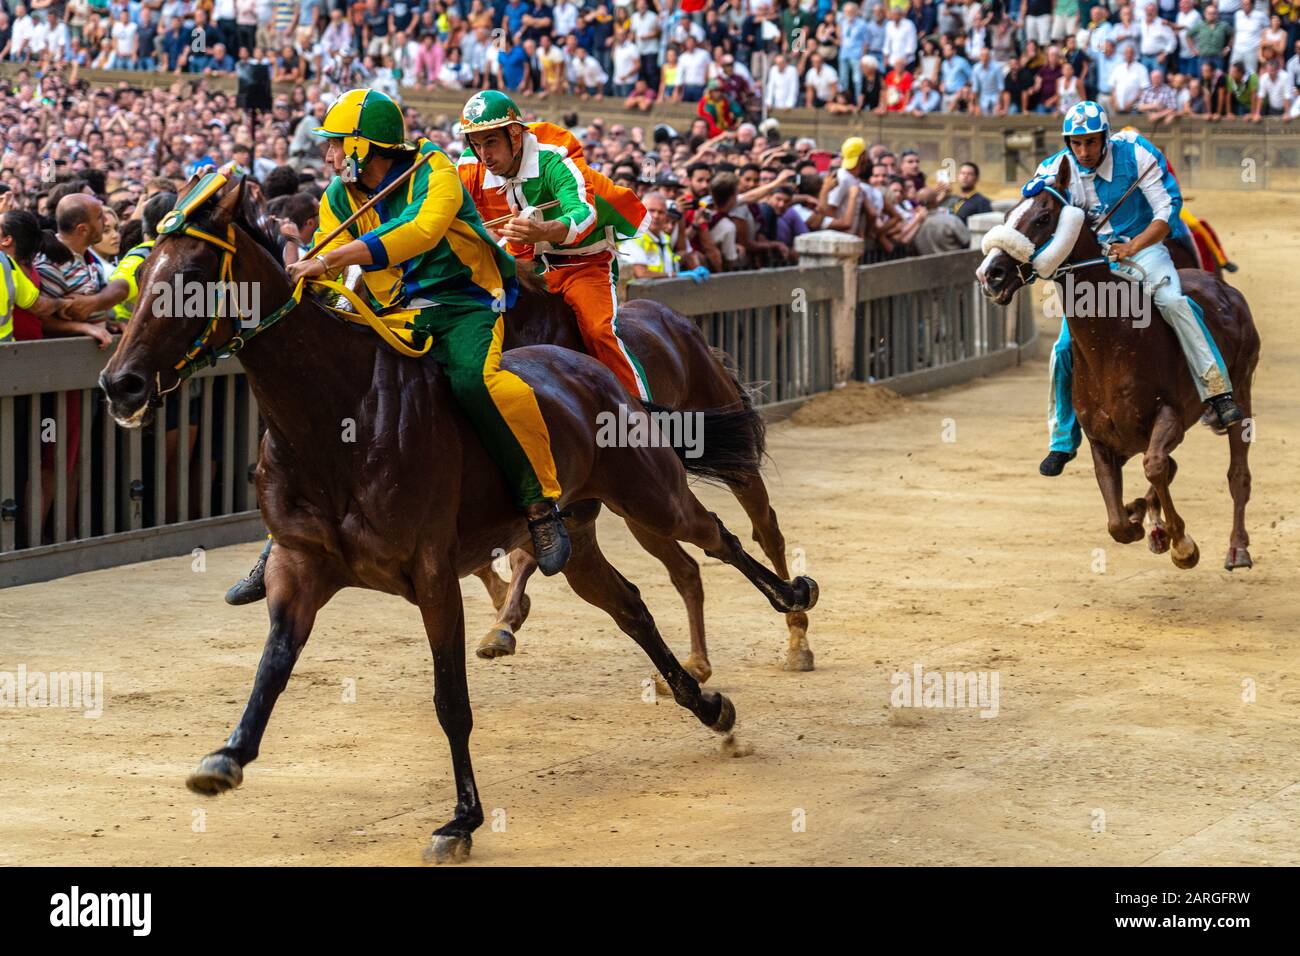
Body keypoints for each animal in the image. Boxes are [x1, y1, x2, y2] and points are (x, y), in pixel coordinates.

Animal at [467, 273, 811, 686]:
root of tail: (680, 322)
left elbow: (526, 554)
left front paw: (506, 620)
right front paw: (503, 615)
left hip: (725, 451)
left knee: (767, 531)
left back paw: (797, 636)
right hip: (640, 508)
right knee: (686, 569)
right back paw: (697, 663)